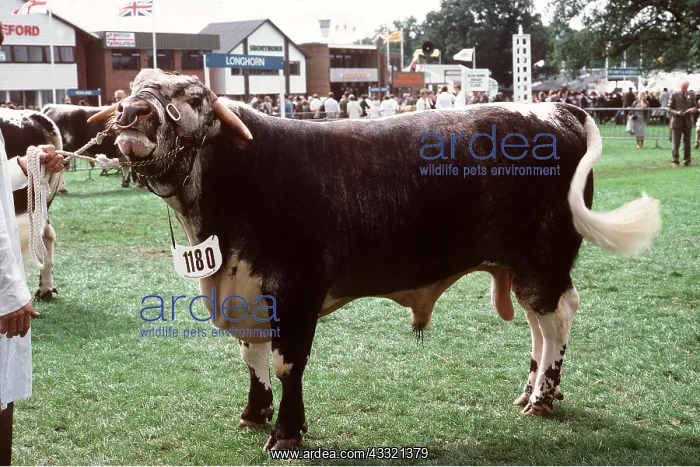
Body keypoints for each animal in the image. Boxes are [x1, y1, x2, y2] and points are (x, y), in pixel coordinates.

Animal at [95, 69, 661, 451]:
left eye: (193, 97)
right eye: (136, 86)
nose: (134, 113)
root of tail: (557, 109)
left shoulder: (294, 292)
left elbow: (285, 363)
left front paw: (285, 432)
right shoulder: (246, 288)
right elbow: (252, 358)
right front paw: (254, 414)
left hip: (544, 259)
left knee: (556, 317)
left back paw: (542, 398)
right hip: (521, 268)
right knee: (537, 324)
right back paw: (528, 394)